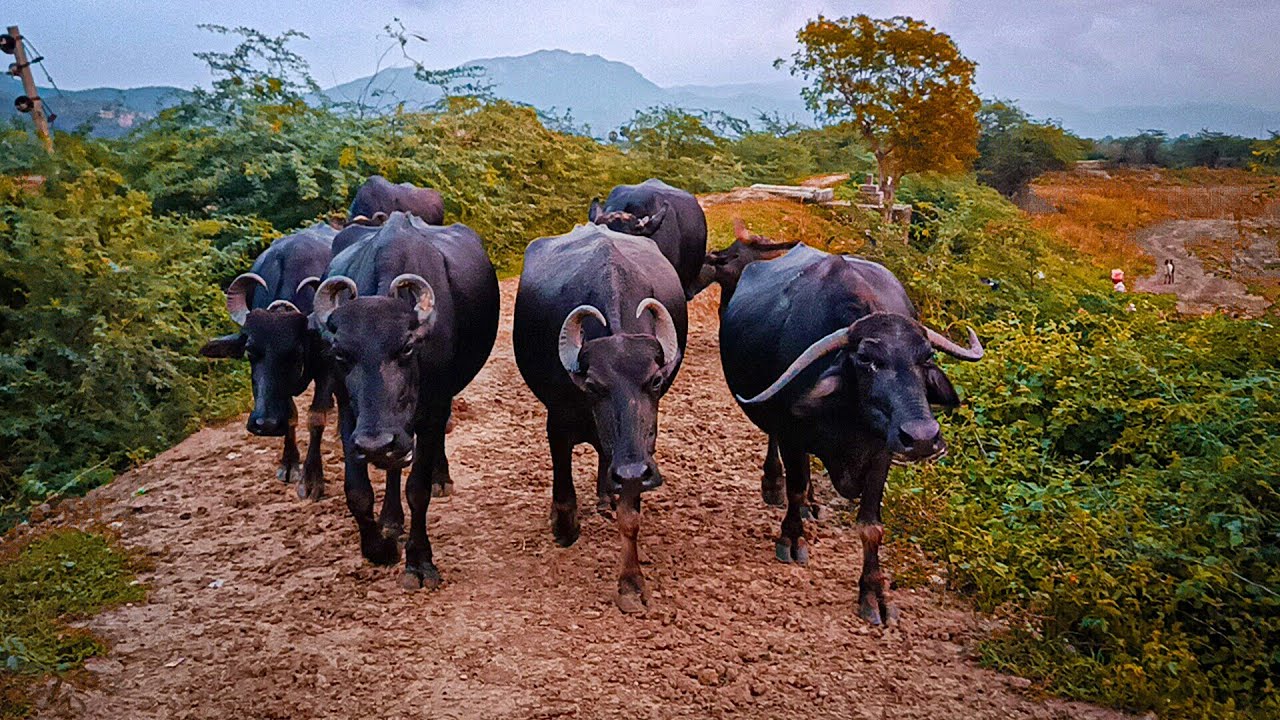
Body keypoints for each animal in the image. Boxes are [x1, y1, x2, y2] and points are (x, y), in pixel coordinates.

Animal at [200, 222, 338, 501]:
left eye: (295, 353)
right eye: (250, 352)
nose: (266, 424)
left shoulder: (326, 366)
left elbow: (316, 418)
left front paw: (312, 480)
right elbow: (292, 414)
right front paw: (289, 463)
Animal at [312, 212, 499, 589]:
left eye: (407, 347)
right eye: (340, 354)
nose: (375, 442)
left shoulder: (431, 411)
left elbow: (418, 489)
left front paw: (419, 562)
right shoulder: (350, 415)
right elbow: (357, 491)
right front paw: (380, 548)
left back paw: (440, 478)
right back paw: (390, 519)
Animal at [514, 224, 687, 613]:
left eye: (655, 380)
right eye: (593, 385)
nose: (631, 471)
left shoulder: (641, 451)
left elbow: (630, 517)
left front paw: (631, 584)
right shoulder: (557, 422)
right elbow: (563, 486)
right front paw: (564, 527)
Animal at [720, 244, 983, 624]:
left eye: (926, 358)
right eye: (866, 360)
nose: (922, 437)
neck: (850, 422)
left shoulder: (881, 453)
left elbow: (871, 526)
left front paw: (874, 594)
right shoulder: (792, 434)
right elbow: (795, 486)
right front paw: (791, 539)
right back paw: (774, 485)